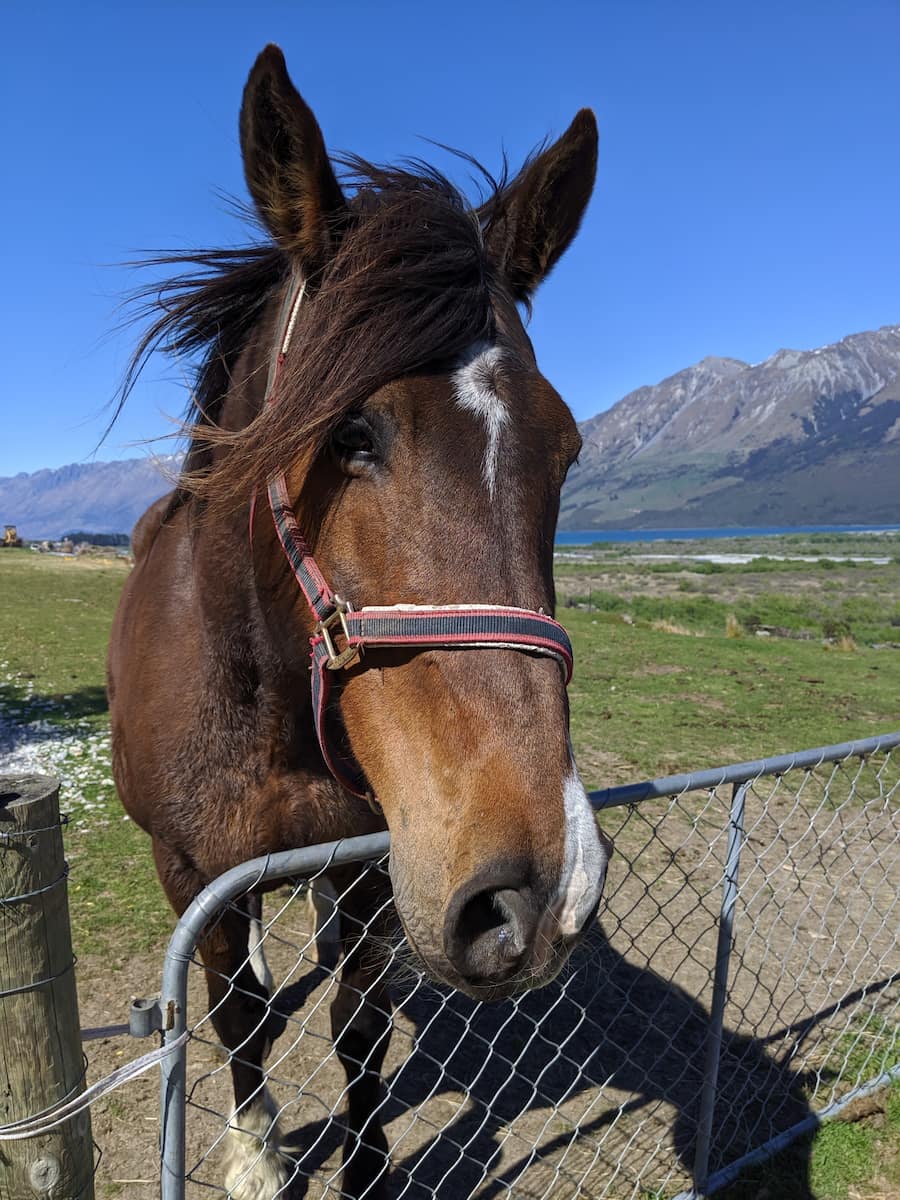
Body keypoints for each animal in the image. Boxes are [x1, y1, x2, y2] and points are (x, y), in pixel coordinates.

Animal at [109, 44, 609, 1200]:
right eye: (349, 433)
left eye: (564, 449)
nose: (536, 890)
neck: (267, 707)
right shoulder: (191, 870)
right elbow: (239, 1018)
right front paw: (256, 1155)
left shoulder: (386, 865)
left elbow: (359, 1025)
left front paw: (370, 1165)